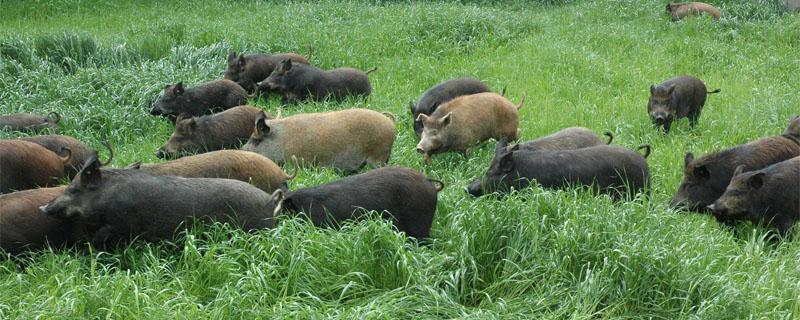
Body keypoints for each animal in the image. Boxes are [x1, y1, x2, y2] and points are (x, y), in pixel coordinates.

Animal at [40, 154, 286, 249]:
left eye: (73, 190)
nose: (43, 208)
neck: (107, 196)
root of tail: (269, 201)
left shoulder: (120, 223)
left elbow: (101, 235)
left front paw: (89, 248)